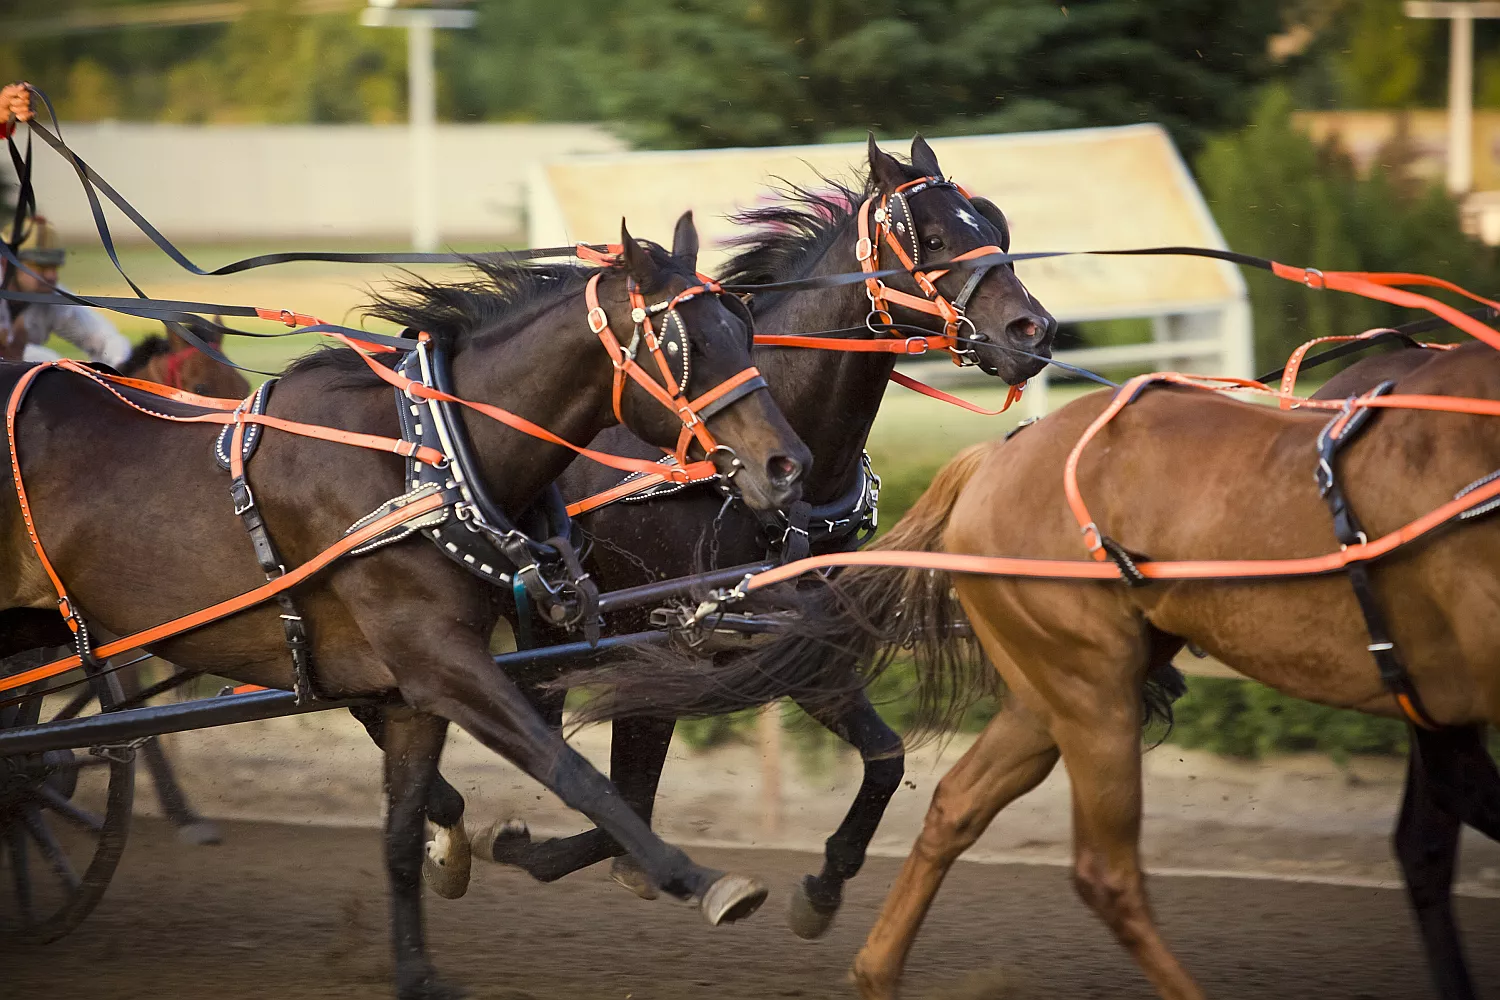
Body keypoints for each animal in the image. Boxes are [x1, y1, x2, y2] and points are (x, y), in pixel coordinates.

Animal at [0, 216, 809, 999]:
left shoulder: (414, 686)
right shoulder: (439, 660)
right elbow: (571, 771)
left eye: (741, 326)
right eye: (687, 344)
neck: (425, 464)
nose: (787, 464)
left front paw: (418, 963)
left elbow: (398, 829)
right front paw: (698, 878)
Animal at [431, 135, 1055, 933]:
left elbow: (885, 757)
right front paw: (523, 845)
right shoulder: (659, 635)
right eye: (937, 238)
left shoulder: (792, 636)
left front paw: (823, 886)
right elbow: (625, 795)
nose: (1032, 332)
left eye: (995, 228)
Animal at [652, 340, 1500, 999]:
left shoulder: (1441, 701)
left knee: (957, 805)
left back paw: (874, 969)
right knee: (1105, 874)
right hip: (1092, 691)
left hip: (1050, 693)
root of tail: (997, 456)